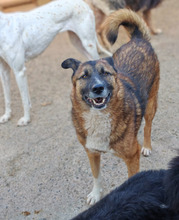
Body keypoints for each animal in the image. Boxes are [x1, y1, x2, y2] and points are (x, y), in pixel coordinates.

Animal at [61, 8, 159, 205]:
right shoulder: (91, 153)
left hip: (151, 103)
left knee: (148, 126)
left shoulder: (132, 156)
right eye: (84, 76)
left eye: (105, 73)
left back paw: (147, 146)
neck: (98, 118)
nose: (98, 88)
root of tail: (138, 40)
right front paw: (96, 194)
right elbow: (96, 175)